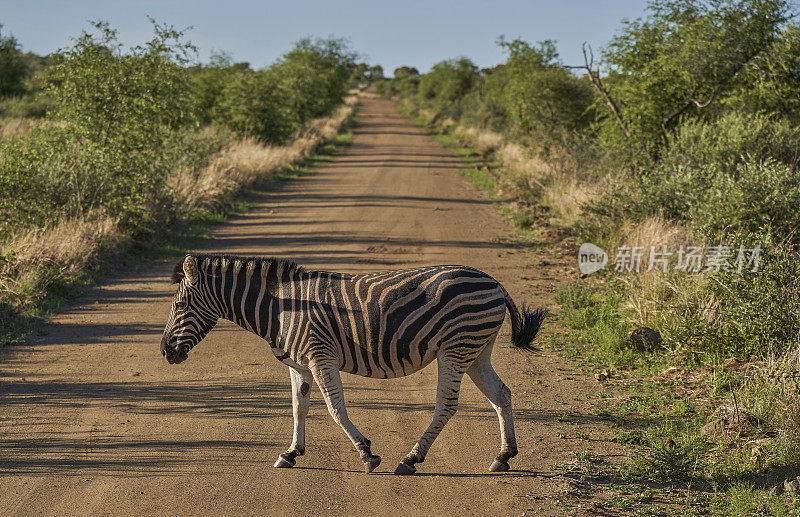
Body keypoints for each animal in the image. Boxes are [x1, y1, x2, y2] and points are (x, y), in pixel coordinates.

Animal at [161, 252, 552, 474]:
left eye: (178, 306)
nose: (165, 352)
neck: (280, 309)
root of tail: (494, 282)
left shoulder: (320, 355)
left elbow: (335, 409)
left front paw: (367, 454)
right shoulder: (298, 364)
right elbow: (299, 408)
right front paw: (291, 453)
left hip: (456, 347)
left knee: (447, 405)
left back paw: (411, 459)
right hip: (477, 349)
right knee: (501, 394)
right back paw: (504, 457)